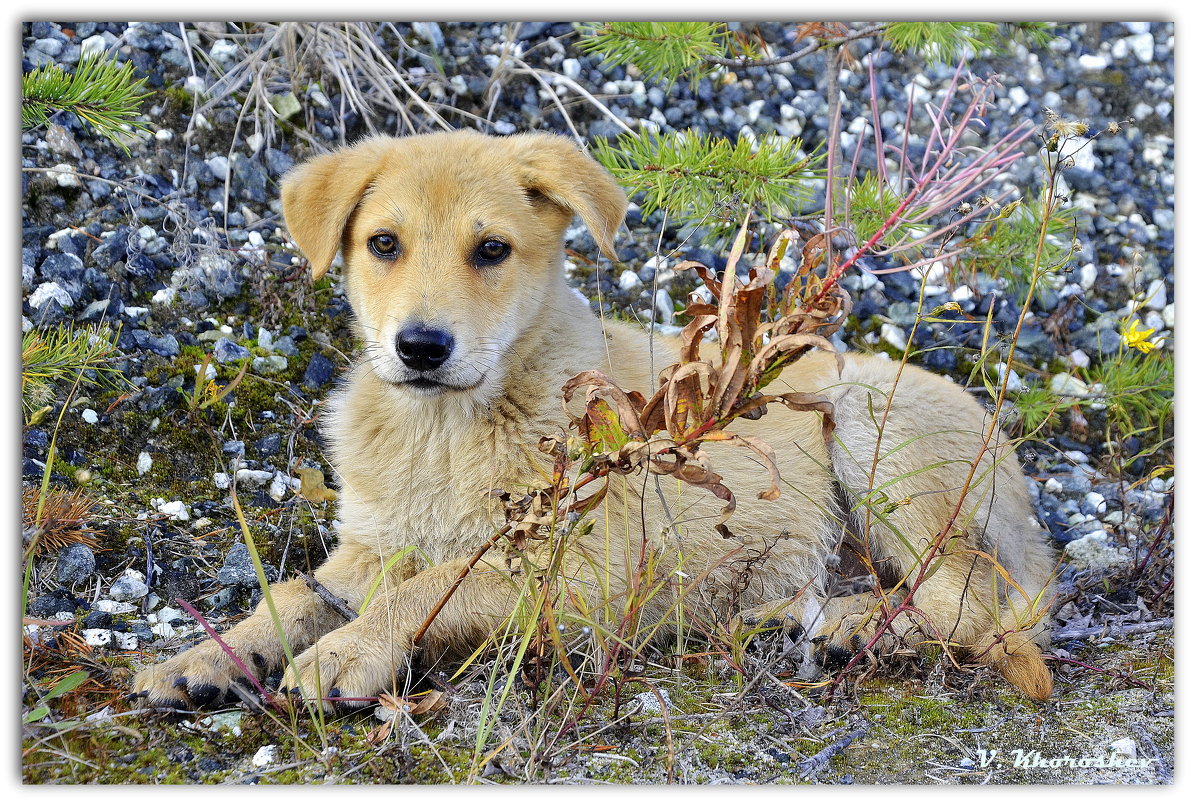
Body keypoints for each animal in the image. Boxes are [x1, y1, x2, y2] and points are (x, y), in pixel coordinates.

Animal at [135, 129, 1056, 704]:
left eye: (492, 250)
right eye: (383, 244)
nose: (421, 346)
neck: (445, 433)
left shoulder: (579, 574)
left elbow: (427, 590)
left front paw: (347, 652)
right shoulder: (370, 547)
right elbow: (297, 589)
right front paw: (207, 655)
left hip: (868, 427)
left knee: (972, 591)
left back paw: (859, 626)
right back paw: (781, 615)